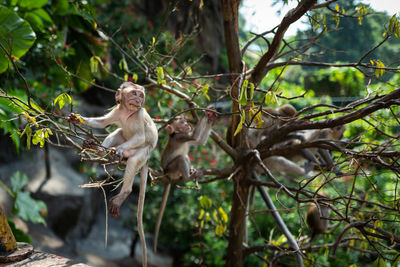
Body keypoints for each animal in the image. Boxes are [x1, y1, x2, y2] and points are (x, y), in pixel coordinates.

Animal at [68, 82, 157, 267]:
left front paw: (119, 150)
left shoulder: (139, 114)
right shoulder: (118, 110)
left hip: (143, 152)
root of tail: (148, 159)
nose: (139, 100)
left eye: (141, 95)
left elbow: (140, 136)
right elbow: (101, 123)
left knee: (133, 159)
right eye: (134, 93)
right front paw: (77, 119)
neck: (128, 112)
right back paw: (99, 150)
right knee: (119, 133)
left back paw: (124, 188)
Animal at [153, 111, 216, 253]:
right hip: (172, 169)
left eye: (186, 121)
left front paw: (211, 117)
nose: (187, 124)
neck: (175, 134)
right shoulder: (181, 136)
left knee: (185, 157)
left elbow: (200, 141)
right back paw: (188, 177)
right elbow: (195, 137)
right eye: (182, 122)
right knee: (181, 158)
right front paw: (206, 113)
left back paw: (190, 171)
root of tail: (166, 174)